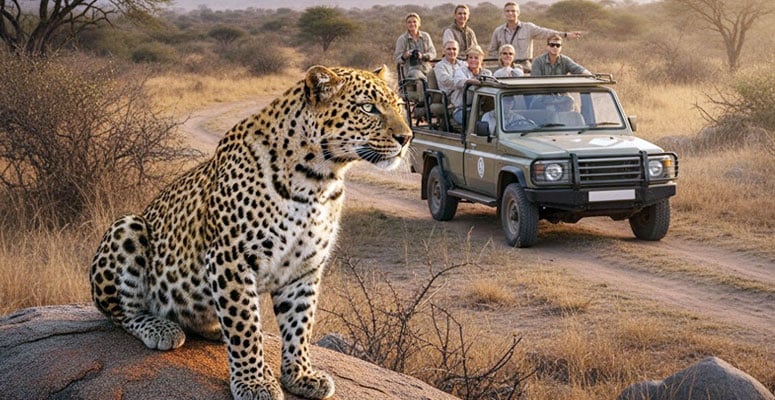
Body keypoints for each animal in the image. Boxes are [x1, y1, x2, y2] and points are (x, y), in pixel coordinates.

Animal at [89, 65, 412, 400]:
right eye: (368, 108)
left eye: (400, 106)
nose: (406, 137)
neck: (319, 180)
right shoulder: (231, 257)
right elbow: (244, 325)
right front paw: (254, 382)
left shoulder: (304, 267)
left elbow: (300, 324)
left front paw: (300, 375)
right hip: (127, 227)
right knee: (121, 312)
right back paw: (161, 328)